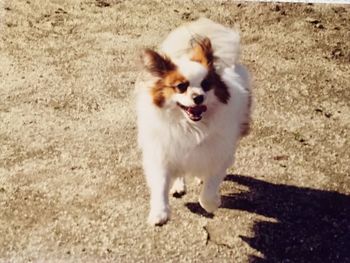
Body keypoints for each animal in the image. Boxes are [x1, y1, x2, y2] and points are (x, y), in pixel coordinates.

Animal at [135, 17, 252, 226]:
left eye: (206, 85)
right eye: (181, 87)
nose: (198, 97)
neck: (191, 127)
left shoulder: (218, 155)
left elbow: (210, 188)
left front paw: (211, 204)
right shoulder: (163, 152)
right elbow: (160, 184)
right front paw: (159, 213)